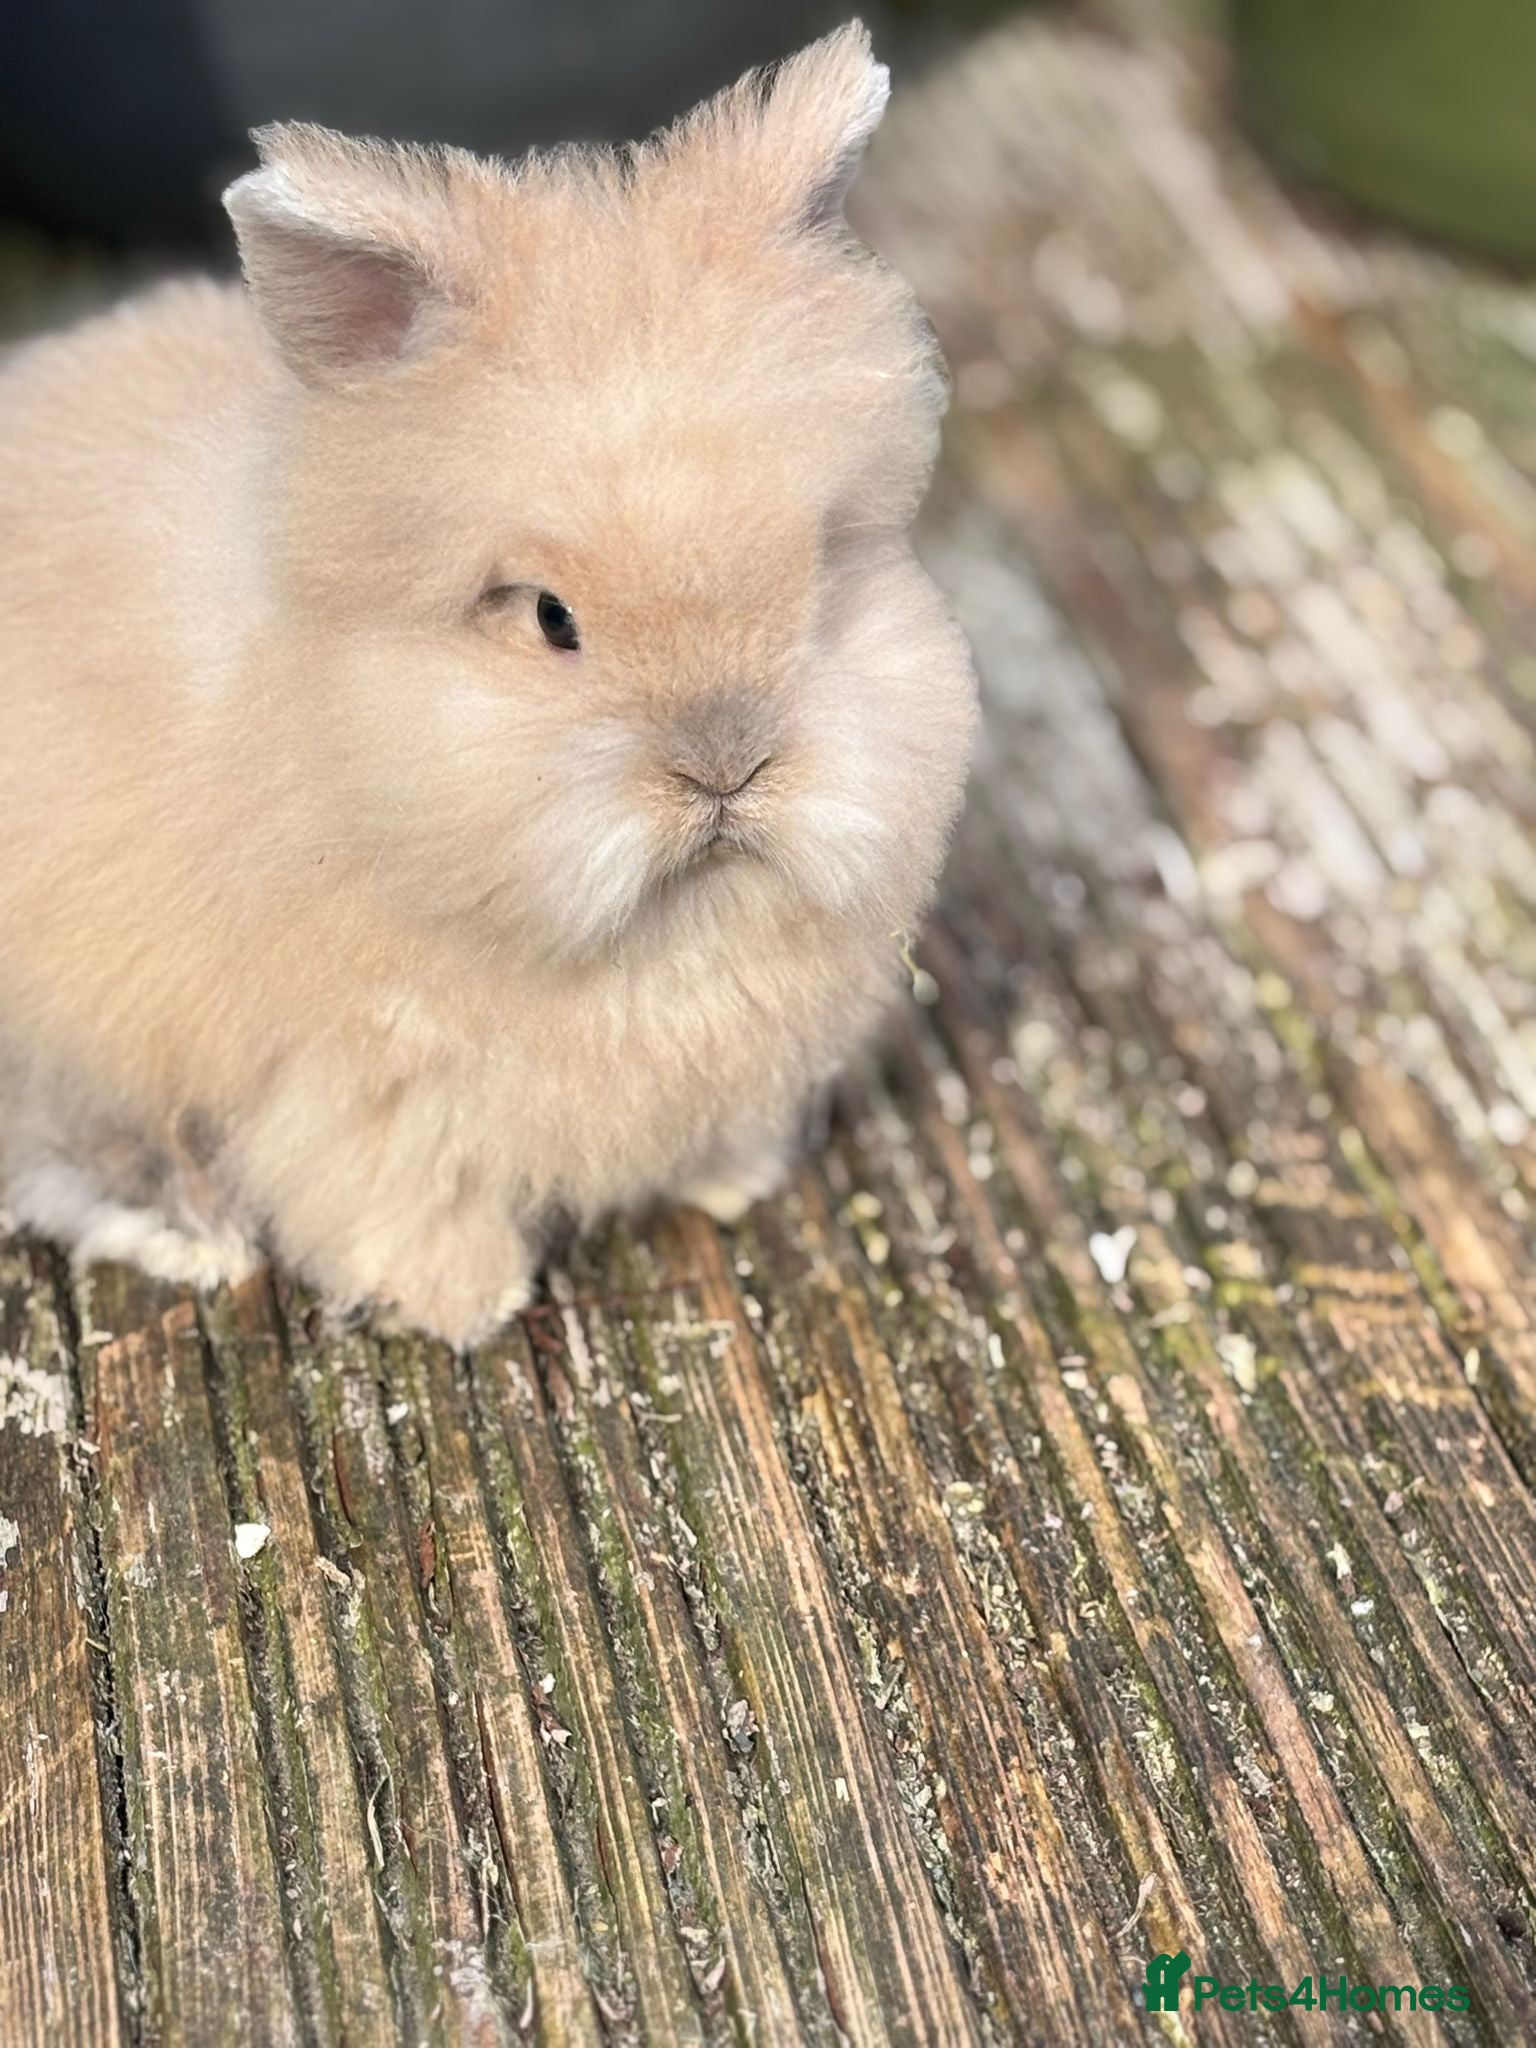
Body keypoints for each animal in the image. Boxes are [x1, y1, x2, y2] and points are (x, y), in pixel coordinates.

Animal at [0, 22, 976, 1345]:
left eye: (824, 568)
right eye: (552, 619)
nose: (726, 767)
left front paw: (732, 1182)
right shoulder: (365, 1090)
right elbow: (394, 1197)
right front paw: (461, 1301)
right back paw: (190, 1230)